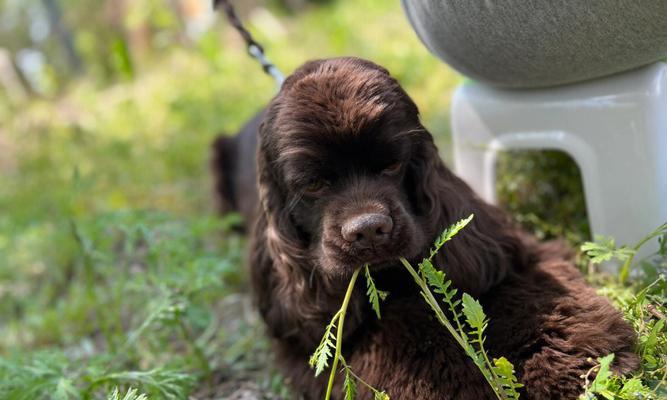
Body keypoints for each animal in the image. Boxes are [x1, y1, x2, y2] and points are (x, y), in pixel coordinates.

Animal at [211, 57, 640, 398]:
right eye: (314, 185)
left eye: (391, 165)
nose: (368, 229)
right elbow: (405, 343)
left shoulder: (507, 253)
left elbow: (532, 299)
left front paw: (567, 368)